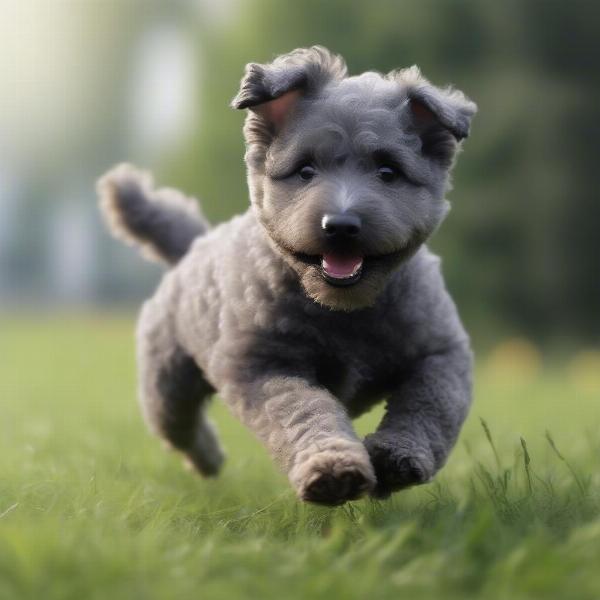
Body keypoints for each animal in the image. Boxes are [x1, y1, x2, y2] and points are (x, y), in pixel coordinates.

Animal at [98, 48, 478, 506]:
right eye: (305, 170)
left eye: (388, 171)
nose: (341, 225)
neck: (343, 311)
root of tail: (195, 243)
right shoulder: (263, 366)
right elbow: (302, 411)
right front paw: (333, 469)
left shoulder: (442, 352)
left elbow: (430, 406)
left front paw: (396, 456)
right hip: (167, 380)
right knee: (179, 426)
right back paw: (209, 459)